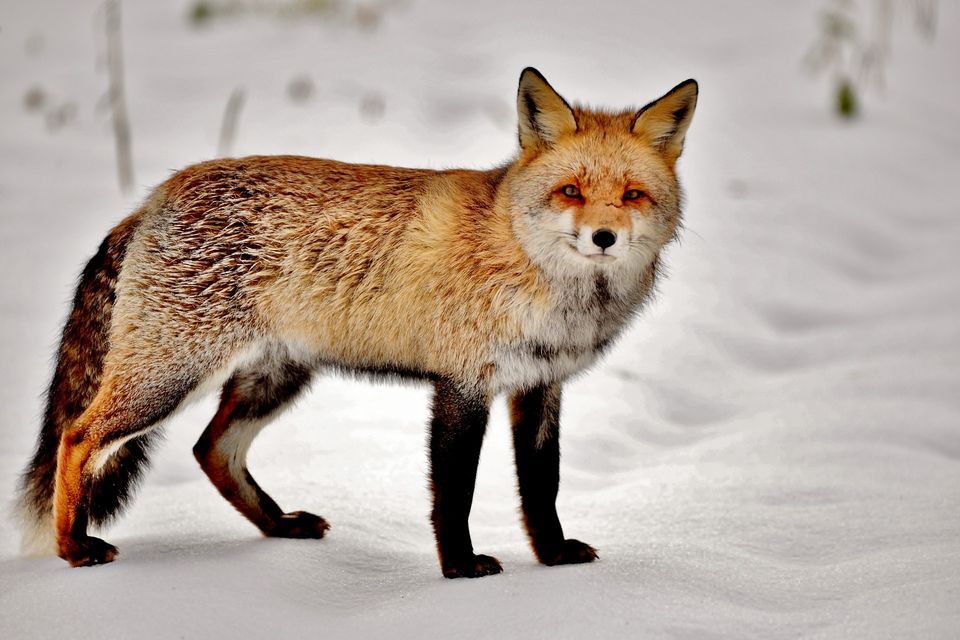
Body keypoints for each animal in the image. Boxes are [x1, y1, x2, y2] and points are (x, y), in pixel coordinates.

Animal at [16, 68, 697, 577]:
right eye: (571, 191)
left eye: (632, 195)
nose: (604, 236)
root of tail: (153, 198)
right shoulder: (462, 384)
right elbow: (455, 491)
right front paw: (460, 569)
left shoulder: (539, 385)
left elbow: (542, 484)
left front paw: (552, 558)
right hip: (169, 376)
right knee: (78, 435)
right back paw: (72, 549)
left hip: (275, 379)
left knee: (210, 450)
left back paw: (279, 526)